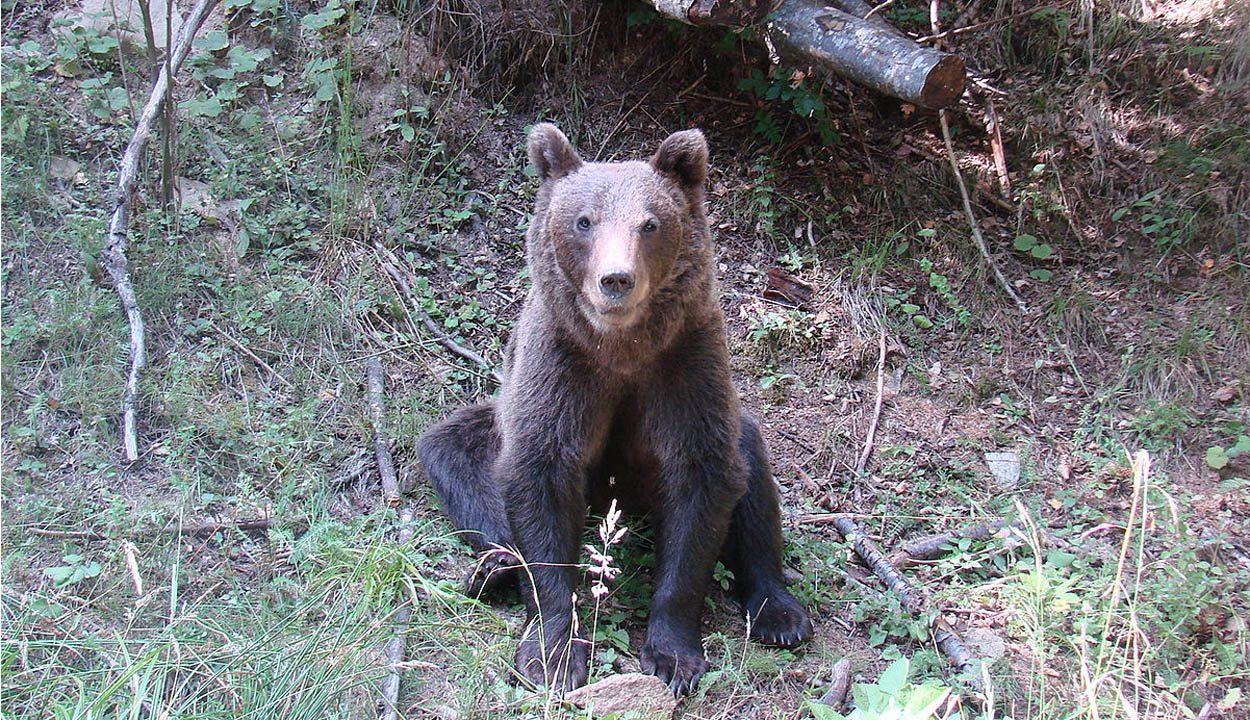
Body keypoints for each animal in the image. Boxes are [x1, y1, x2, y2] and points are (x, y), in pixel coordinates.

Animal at [415, 122, 815, 690]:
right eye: (584, 221)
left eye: (650, 223)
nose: (616, 279)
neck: (621, 349)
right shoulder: (562, 366)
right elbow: (540, 475)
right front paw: (554, 651)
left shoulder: (683, 365)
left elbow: (701, 481)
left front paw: (673, 654)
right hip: (494, 421)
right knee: (454, 454)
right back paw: (494, 567)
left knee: (752, 473)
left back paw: (779, 613)